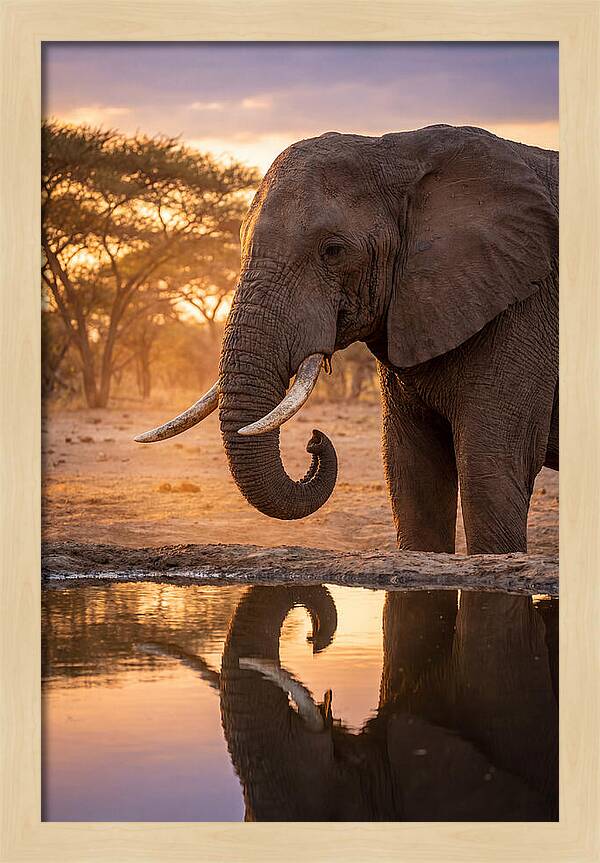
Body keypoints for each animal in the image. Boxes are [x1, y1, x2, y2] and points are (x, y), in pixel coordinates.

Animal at [136, 124, 558, 554]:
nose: (314, 440)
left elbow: (491, 468)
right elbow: (411, 471)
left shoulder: (524, 305)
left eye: (333, 251)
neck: (402, 152)